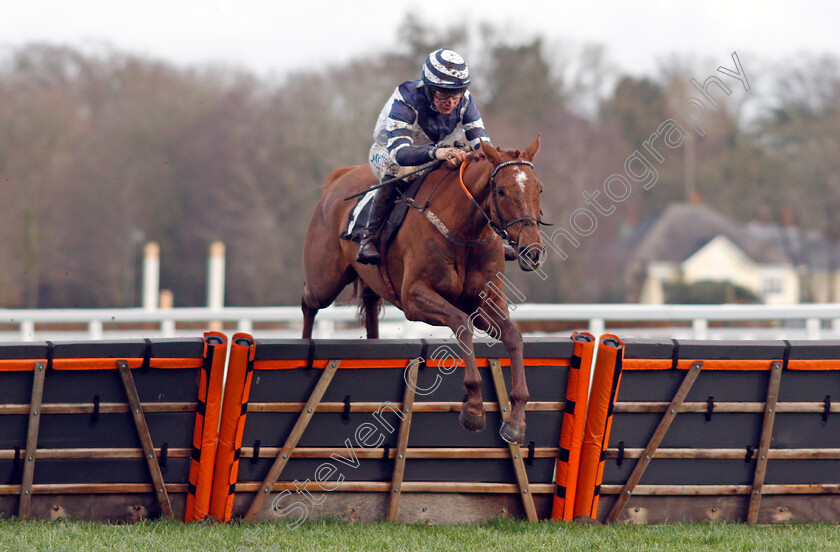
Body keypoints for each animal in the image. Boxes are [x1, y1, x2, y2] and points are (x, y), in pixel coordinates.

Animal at [302, 137, 544, 444]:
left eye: (539, 188)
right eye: (500, 190)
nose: (532, 251)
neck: (464, 231)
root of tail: (341, 177)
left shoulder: (485, 302)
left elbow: (513, 337)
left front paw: (516, 420)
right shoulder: (414, 298)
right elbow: (461, 323)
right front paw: (474, 409)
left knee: (369, 306)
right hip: (325, 279)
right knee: (309, 302)